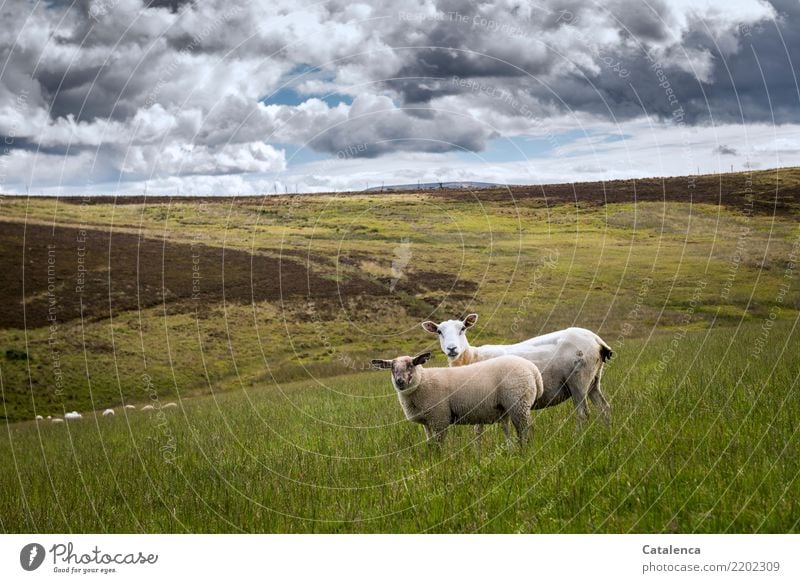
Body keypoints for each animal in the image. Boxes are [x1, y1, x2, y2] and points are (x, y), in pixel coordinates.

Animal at [372, 352, 540, 448]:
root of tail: (532, 369)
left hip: (519, 402)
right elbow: (430, 444)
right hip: (506, 408)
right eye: (392, 368)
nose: (400, 381)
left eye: (411, 365)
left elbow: (439, 446)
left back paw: (524, 450)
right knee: (510, 430)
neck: (422, 382)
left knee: (524, 429)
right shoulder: (427, 422)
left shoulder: (439, 418)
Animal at [424, 312, 612, 426]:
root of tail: (596, 339)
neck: (471, 357)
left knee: (583, 413)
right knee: (604, 408)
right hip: (594, 380)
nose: (452, 349)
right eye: (439, 331)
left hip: (578, 380)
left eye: (463, 329)